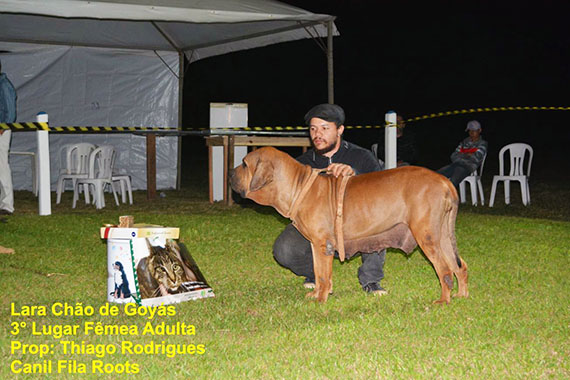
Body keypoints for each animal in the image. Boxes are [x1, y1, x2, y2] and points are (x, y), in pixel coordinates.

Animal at [229, 147, 468, 304]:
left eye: (244, 164)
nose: (230, 173)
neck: (298, 185)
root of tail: (445, 182)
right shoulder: (316, 245)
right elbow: (319, 272)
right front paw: (317, 293)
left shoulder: (322, 244)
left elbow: (323, 275)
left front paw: (321, 299)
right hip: (442, 235)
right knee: (460, 266)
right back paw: (461, 295)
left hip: (427, 236)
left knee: (445, 270)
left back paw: (443, 301)